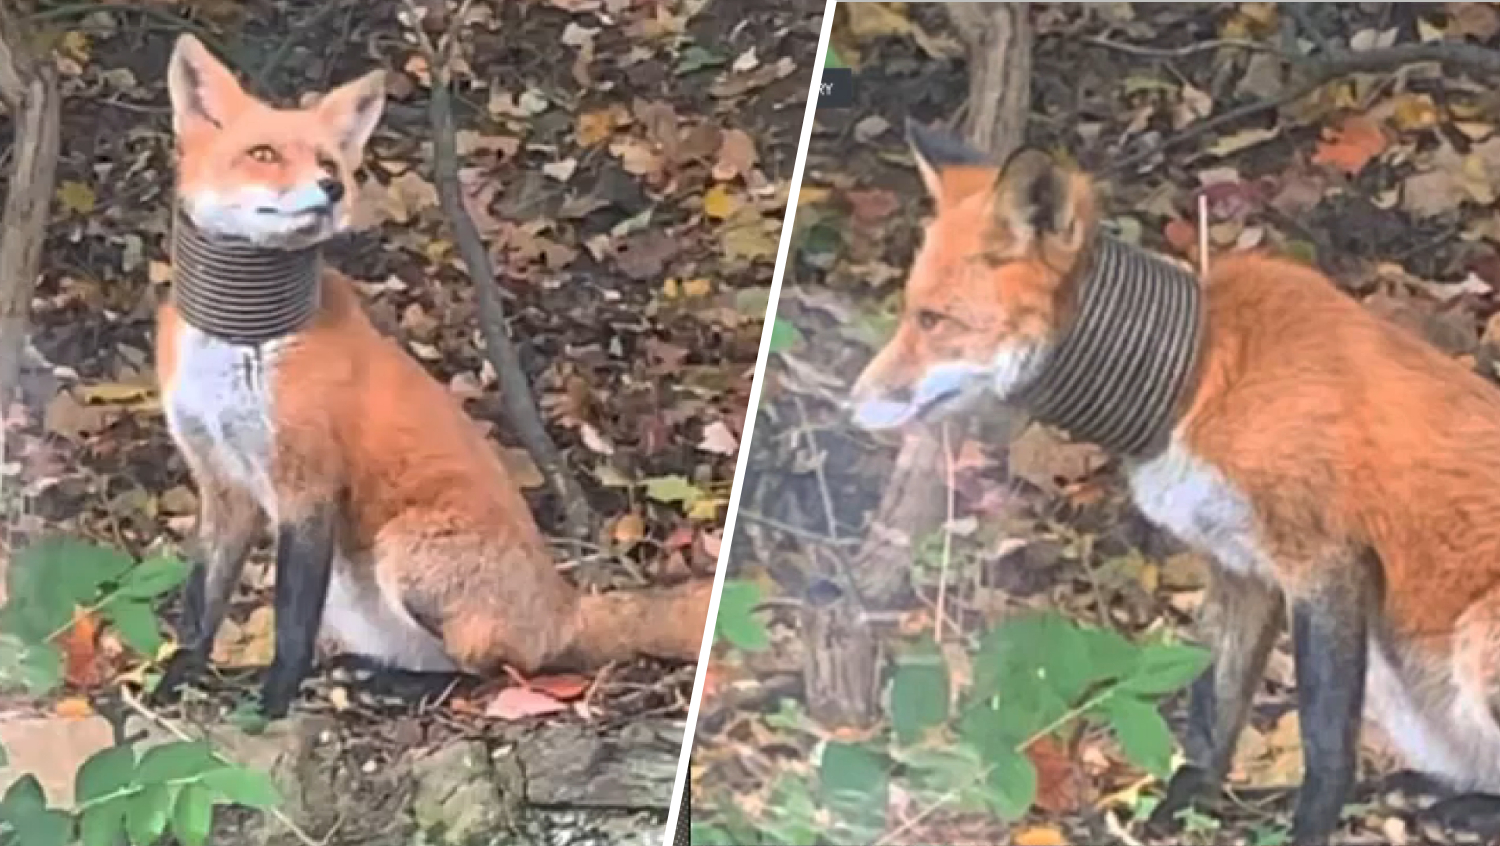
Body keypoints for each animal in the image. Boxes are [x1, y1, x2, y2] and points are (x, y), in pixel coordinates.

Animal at [151, 34, 713, 719]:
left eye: (329, 161)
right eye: (263, 154)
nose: (331, 188)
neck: (241, 339)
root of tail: (565, 604)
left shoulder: (307, 485)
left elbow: (290, 623)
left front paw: (273, 703)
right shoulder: (223, 483)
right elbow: (201, 601)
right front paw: (177, 680)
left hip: (405, 549)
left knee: (497, 670)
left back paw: (395, 687)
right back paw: (363, 672)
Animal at [848, 120, 1500, 844]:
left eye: (933, 320)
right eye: (910, 311)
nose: (851, 402)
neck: (1200, 379)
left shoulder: (1324, 565)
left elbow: (1326, 743)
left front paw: (1305, 830)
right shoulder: (1240, 568)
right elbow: (1213, 713)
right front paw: (1176, 813)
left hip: (1476, 637)